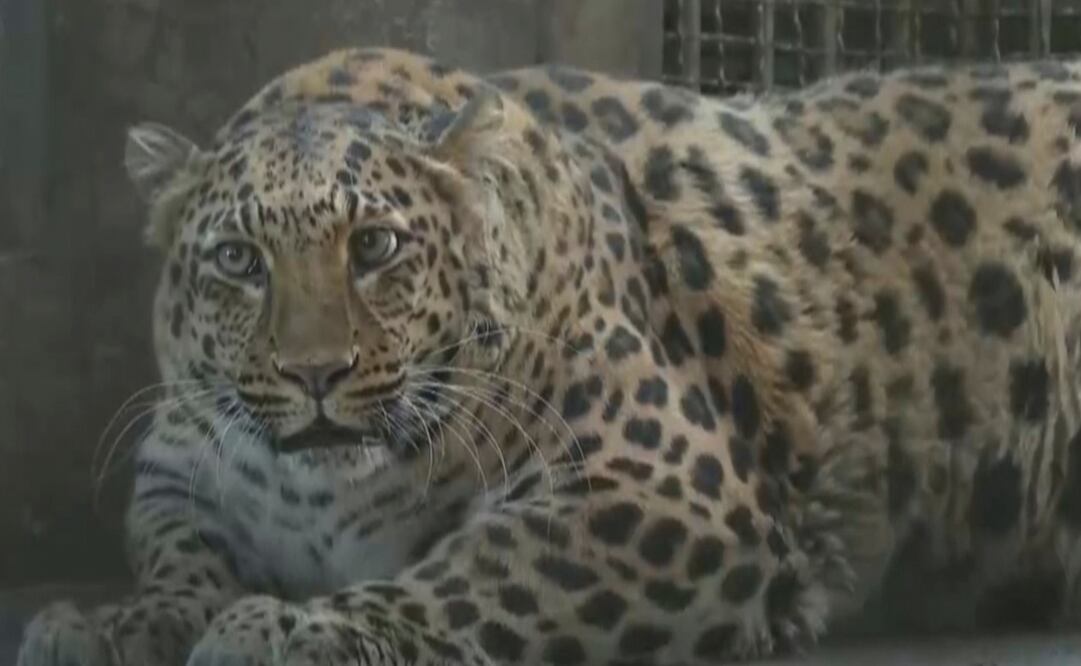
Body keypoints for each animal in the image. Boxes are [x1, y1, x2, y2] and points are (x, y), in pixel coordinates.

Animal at [16, 45, 1081, 666]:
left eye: (375, 247)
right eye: (238, 260)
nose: (315, 375)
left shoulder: (654, 484)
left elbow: (479, 575)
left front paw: (288, 630)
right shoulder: (176, 467)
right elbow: (179, 554)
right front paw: (112, 625)